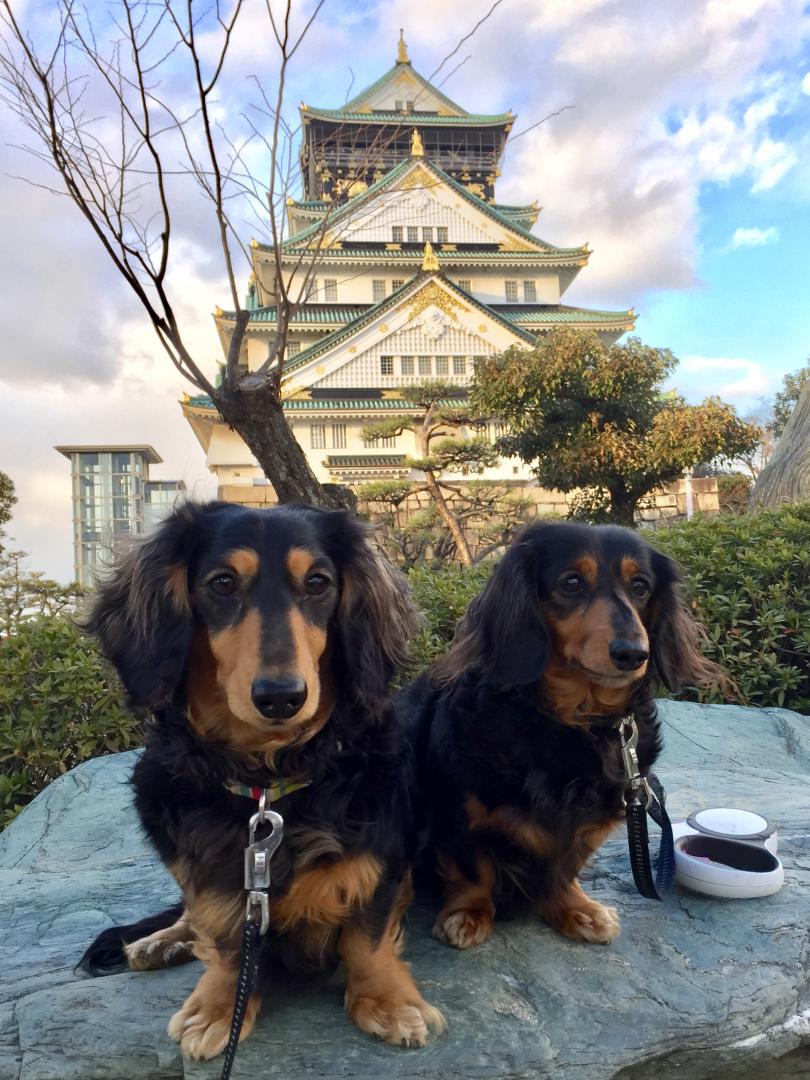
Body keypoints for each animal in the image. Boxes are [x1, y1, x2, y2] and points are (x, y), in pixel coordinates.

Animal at [78, 503, 444, 1054]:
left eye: (318, 582)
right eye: (223, 583)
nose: (280, 697)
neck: (269, 784)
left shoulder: (380, 849)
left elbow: (369, 934)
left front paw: (387, 1001)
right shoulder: (210, 871)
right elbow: (223, 934)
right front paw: (219, 1007)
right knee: (188, 916)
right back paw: (158, 942)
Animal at [403, 522, 725, 954]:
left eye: (640, 585)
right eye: (571, 582)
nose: (633, 653)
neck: (572, 723)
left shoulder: (604, 813)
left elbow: (565, 865)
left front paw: (575, 909)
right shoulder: (457, 810)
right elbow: (474, 869)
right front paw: (468, 912)